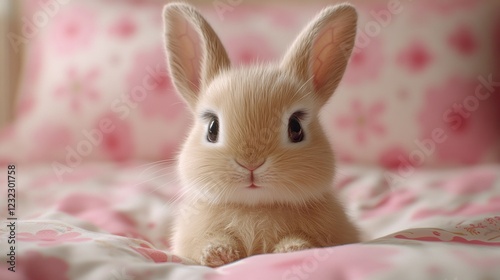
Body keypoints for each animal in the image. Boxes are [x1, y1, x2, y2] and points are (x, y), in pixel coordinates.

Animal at [163, 1, 360, 266]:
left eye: (295, 127)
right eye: (212, 128)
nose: (251, 163)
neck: (255, 208)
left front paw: (293, 249)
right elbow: (209, 240)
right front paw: (218, 254)